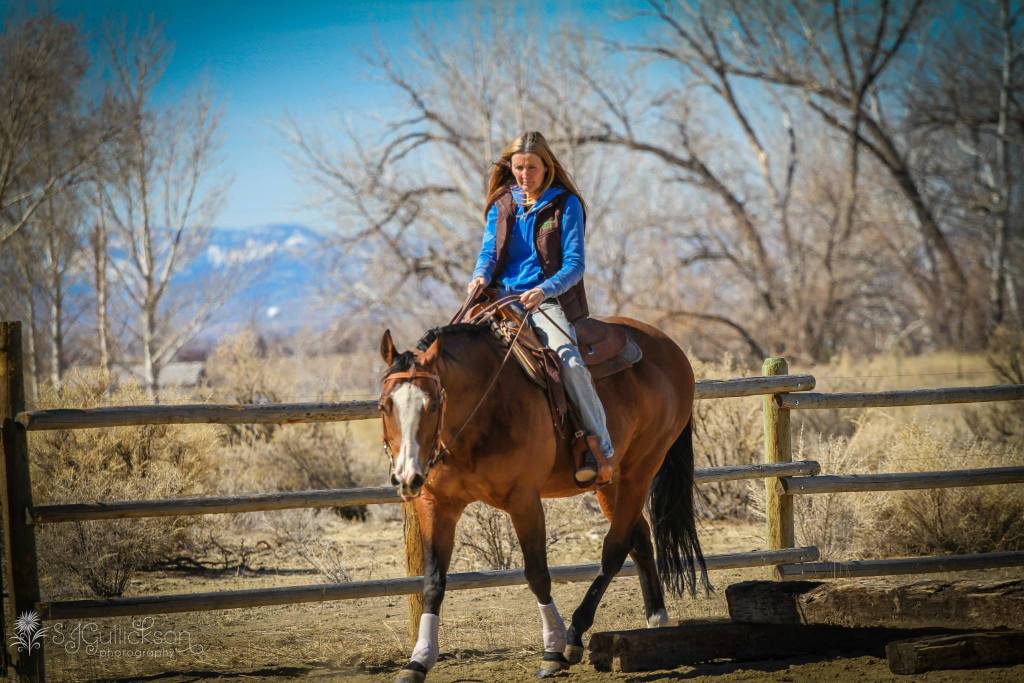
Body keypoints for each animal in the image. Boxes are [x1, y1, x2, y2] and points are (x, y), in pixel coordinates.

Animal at [378, 315, 709, 682]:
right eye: (384, 405)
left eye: (433, 405)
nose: (407, 476)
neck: (480, 409)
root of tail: (668, 347)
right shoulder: (436, 505)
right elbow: (433, 582)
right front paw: (418, 660)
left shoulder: (524, 500)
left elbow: (537, 573)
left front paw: (551, 650)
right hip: (610, 481)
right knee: (639, 538)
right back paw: (656, 619)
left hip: (641, 470)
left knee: (615, 547)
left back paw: (574, 636)